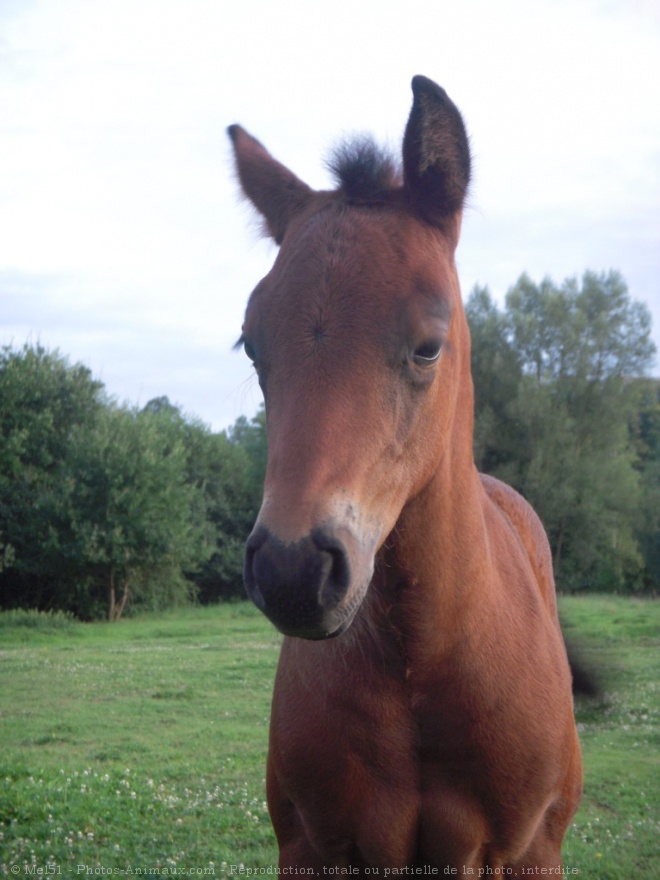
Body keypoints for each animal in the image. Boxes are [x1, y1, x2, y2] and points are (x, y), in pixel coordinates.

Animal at [228, 74, 584, 872]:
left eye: (428, 346)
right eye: (251, 345)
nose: (294, 570)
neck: (419, 671)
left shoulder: (528, 849)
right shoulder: (309, 845)